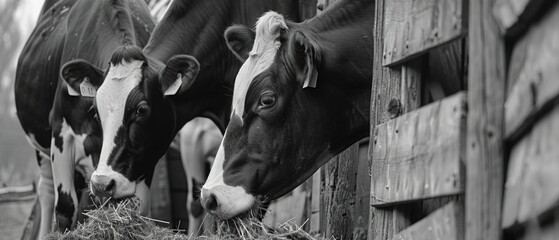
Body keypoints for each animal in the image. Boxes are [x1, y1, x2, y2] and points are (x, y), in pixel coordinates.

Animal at [15, 0, 155, 236]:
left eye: (142, 111)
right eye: (95, 110)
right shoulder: (61, 132)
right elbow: (65, 208)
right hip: (41, 146)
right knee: (46, 191)